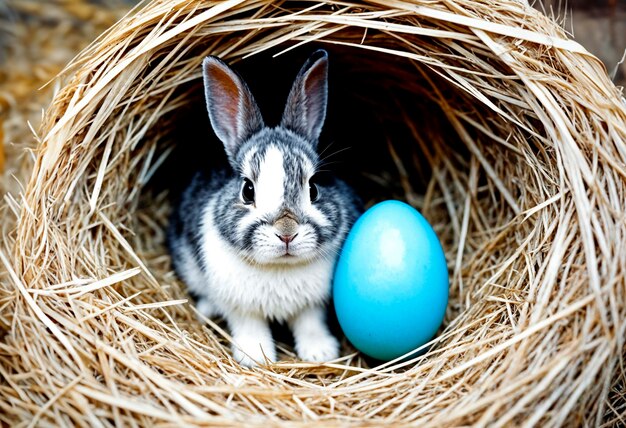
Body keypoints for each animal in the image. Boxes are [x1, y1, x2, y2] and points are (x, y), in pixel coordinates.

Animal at [166, 51, 360, 368]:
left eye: (314, 188)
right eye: (247, 190)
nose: (287, 233)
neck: (279, 267)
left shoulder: (313, 304)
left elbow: (310, 323)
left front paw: (320, 352)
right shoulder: (238, 305)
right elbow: (249, 326)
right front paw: (256, 357)